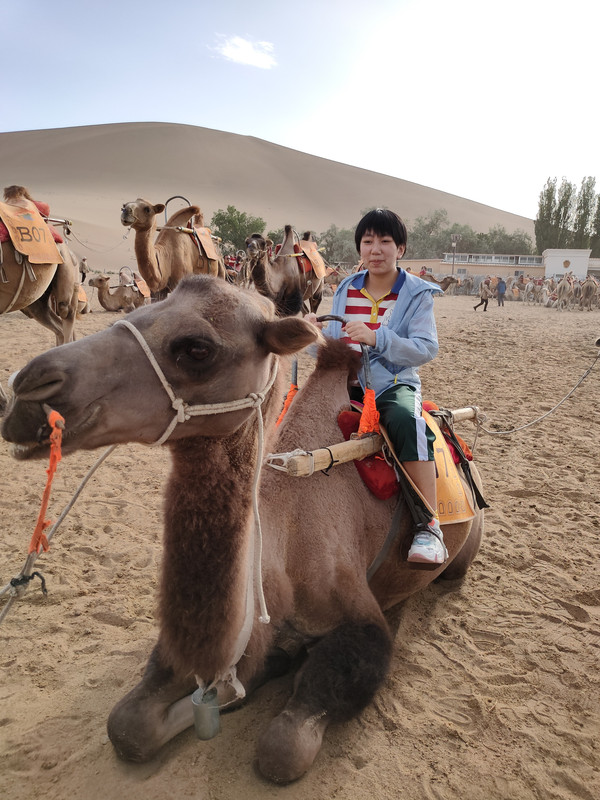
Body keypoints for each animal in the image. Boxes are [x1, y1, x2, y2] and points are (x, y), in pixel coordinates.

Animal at [2, 275, 484, 783]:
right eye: (138, 308)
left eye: (197, 348)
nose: (27, 391)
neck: (277, 549)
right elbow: (129, 724)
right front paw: (251, 675)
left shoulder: (360, 622)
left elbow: (282, 748)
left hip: (462, 548)